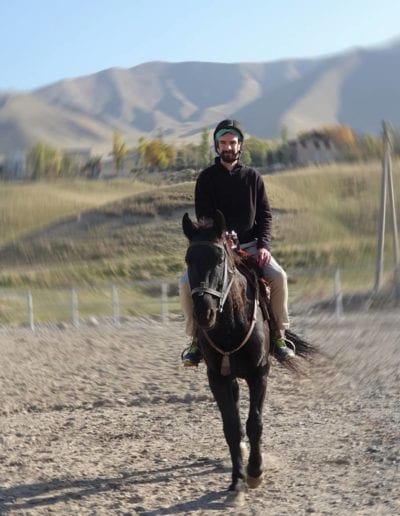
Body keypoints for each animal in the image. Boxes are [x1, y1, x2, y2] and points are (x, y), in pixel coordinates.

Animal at [182, 209, 314, 502]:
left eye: (219, 259)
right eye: (188, 259)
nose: (204, 313)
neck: (231, 325)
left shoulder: (259, 373)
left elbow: (255, 423)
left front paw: (255, 472)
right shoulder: (217, 378)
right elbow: (231, 427)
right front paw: (237, 479)